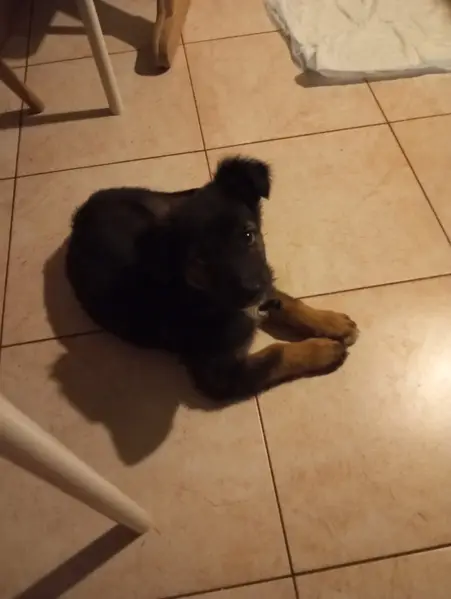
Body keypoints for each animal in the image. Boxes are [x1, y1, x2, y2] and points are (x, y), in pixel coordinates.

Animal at [66, 156, 358, 402]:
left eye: (248, 235)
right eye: (201, 260)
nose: (251, 290)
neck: (198, 294)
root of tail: (81, 213)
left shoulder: (262, 279)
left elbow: (287, 301)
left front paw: (330, 322)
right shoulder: (219, 376)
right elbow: (275, 354)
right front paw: (324, 350)